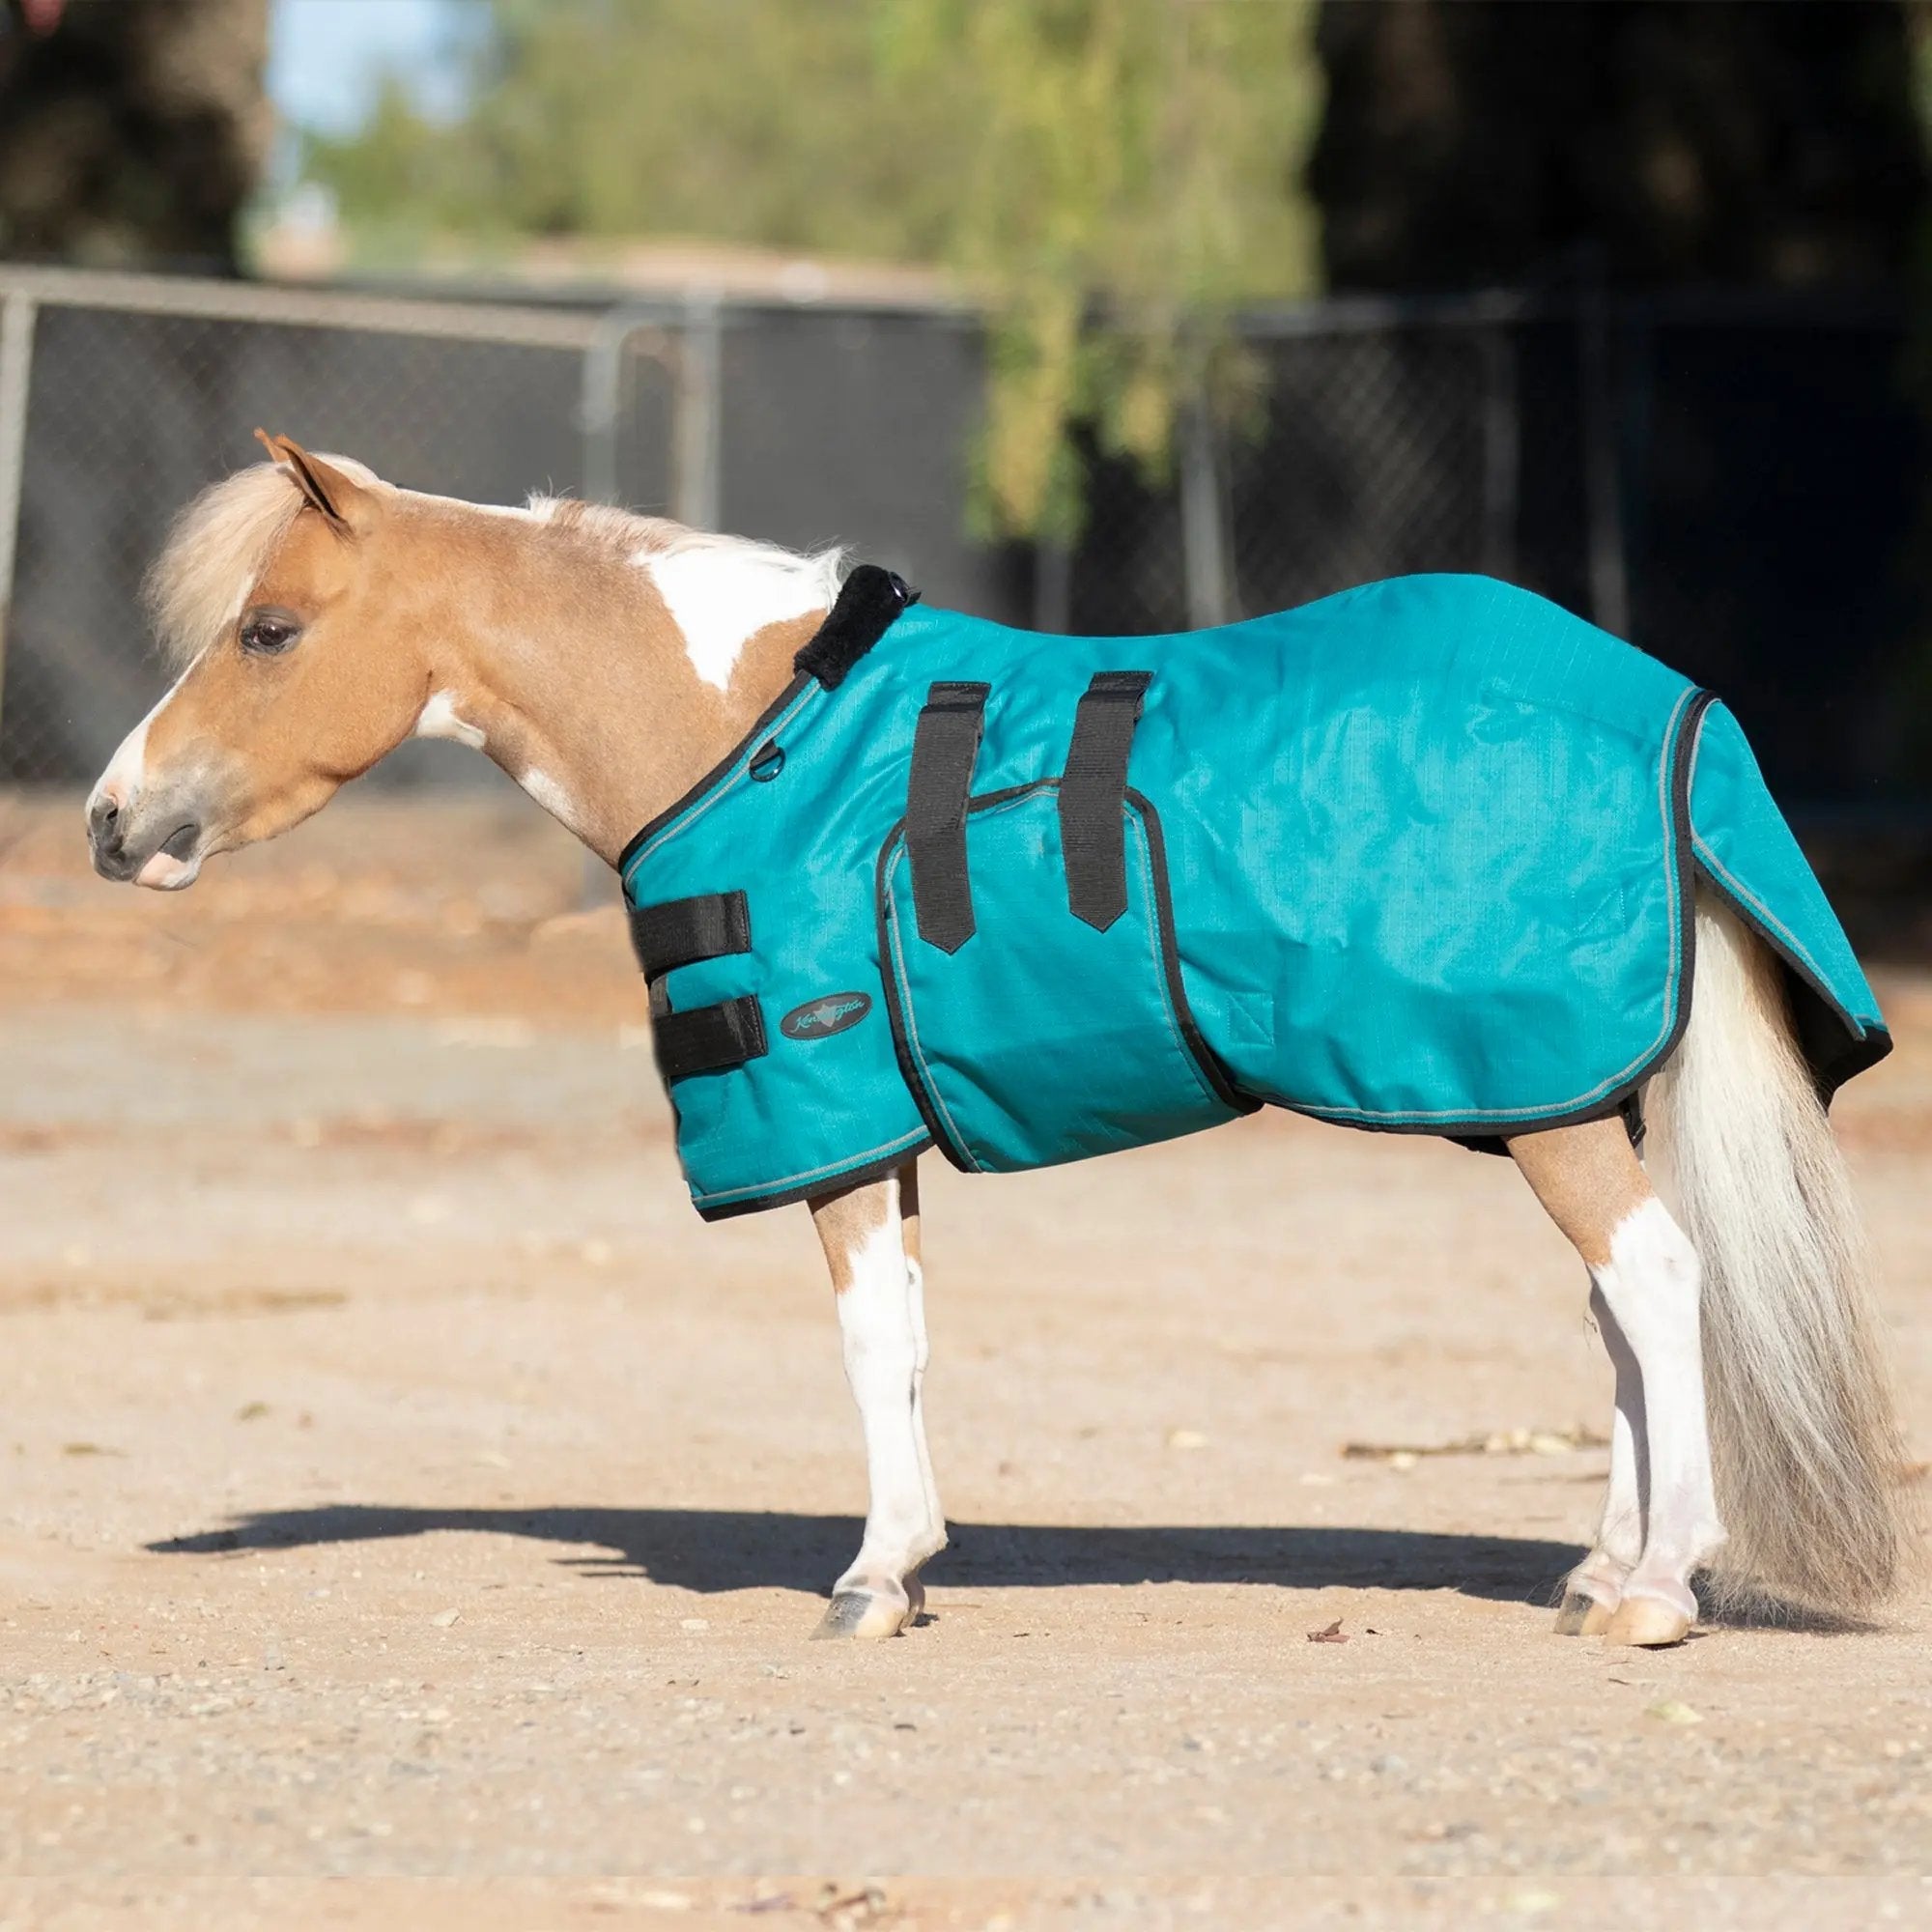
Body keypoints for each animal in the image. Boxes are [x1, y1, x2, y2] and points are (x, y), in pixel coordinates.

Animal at [84, 431, 1909, 1647]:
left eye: (268, 630)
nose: (112, 821)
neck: (753, 731)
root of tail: (1663, 704)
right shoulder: (878, 1132)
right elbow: (903, 1340)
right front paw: (904, 1561)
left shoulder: (824, 1111)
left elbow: (863, 1344)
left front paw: (872, 1578)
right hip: (1558, 1095)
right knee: (1618, 1315)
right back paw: (1602, 1564)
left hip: (1543, 1102)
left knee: (1655, 1283)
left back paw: (1658, 1589)